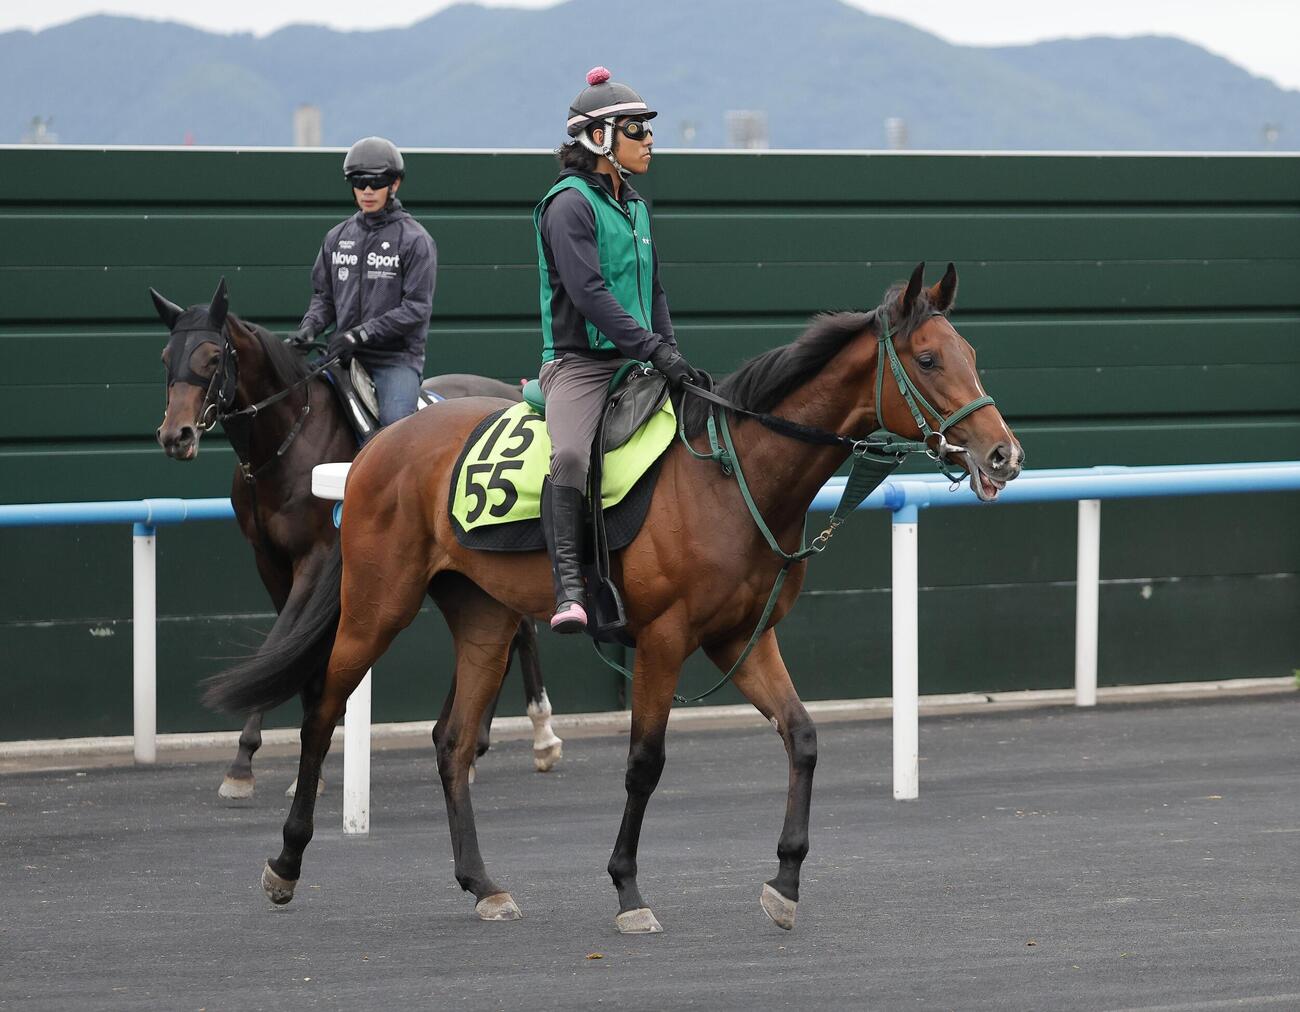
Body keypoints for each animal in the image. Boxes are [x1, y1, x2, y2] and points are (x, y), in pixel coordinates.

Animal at [152, 279, 563, 799]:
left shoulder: (316, 557)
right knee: (517, 631)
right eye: (167, 356)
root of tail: (511, 392)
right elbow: (290, 644)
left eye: (209, 357)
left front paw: (243, 763)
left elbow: (281, 640)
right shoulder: (269, 561)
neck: (288, 438)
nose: (175, 434)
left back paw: (541, 736)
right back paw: (493, 742)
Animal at [204, 262, 1023, 932]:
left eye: (973, 357)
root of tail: (380, 443)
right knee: (322, 712)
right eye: (927, 359)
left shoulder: (742, 638)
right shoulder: (664, 639)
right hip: (379, 603)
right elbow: (644, 762)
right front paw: (628, 889)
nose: (1003, 454)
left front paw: (785, 882)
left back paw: (483, 884)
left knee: (452, 740)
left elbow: (803, 737)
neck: (734, 474)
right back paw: (285, 864)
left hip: (484, 615)